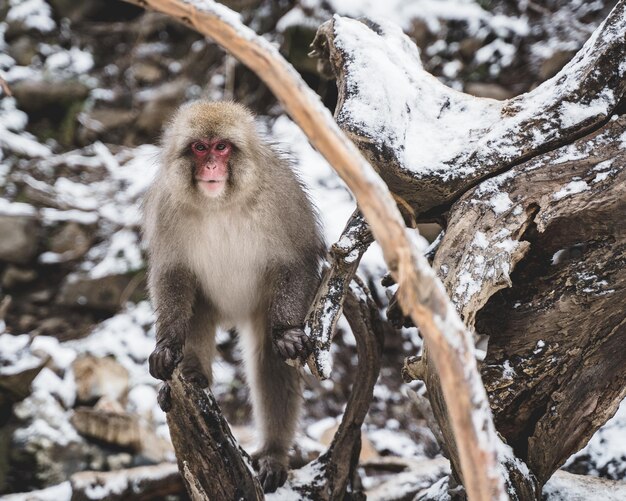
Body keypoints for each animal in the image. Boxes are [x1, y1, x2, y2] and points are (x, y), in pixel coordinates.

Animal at [142, 99, 324, 490]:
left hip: (259, 306)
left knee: (270, 360)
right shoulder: (166, 207)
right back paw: (193, 374)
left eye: (222, 147)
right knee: (197, 309)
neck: (219, 202)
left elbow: (296, 260)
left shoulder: (281, 197)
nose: (211, 165)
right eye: (200, 147)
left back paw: (273, 454)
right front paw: (167, 345)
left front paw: (286, 333)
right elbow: (173, 273)